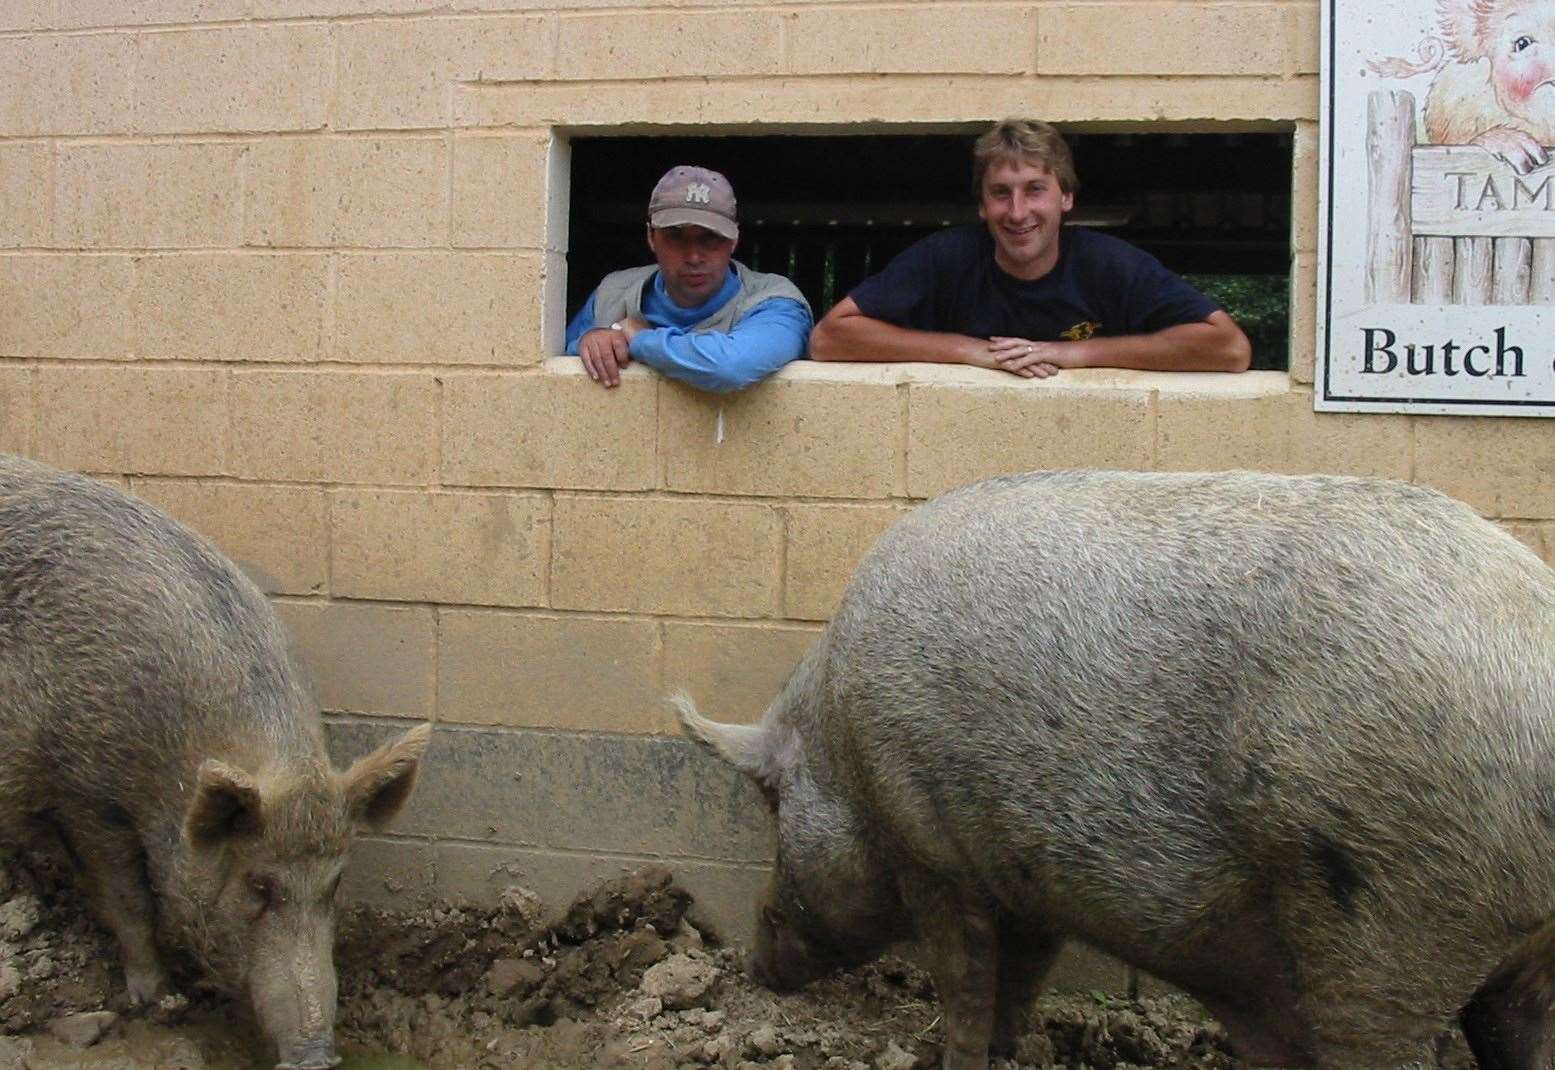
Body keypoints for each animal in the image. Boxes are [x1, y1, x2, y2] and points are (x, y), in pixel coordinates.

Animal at [0, 454, 429, 1063]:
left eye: (336, 884)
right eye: (258, 886)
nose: (316, 1056)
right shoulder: (85, 792)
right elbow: (128, 897)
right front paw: (158, 999)